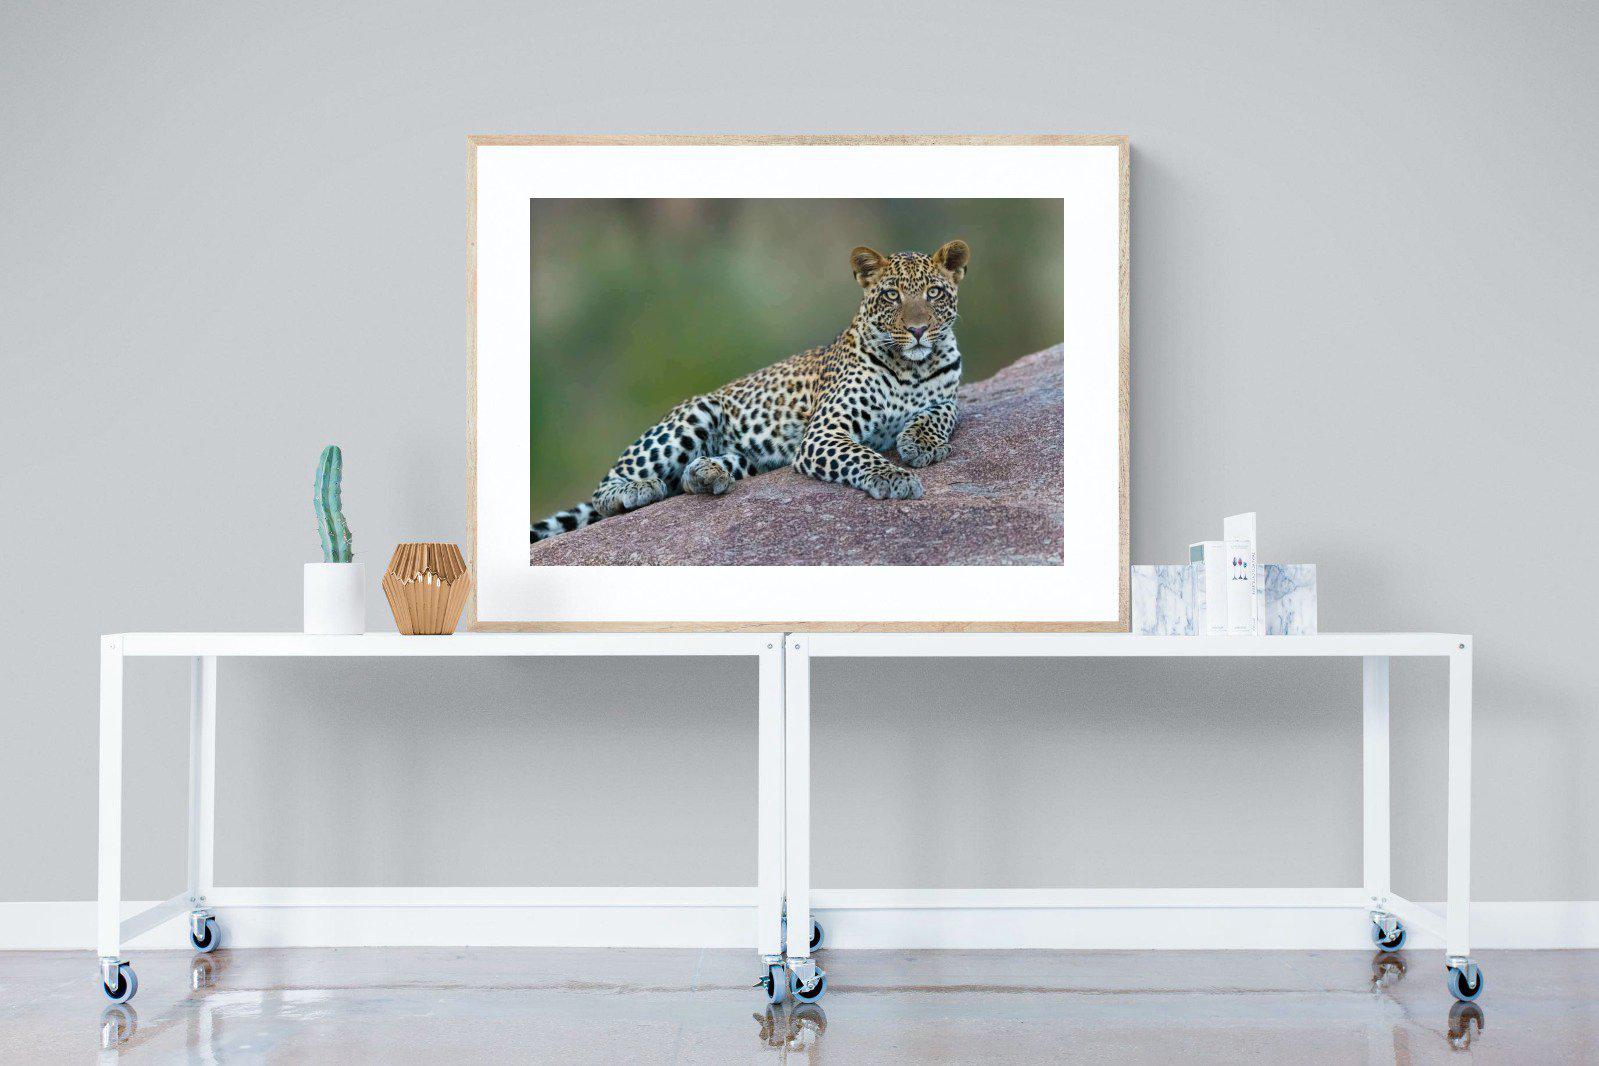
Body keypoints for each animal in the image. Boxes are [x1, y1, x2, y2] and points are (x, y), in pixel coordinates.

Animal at [530, 239, 970, 543]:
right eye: (892, 295)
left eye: (933, 293)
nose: (918, 330)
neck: (912, 366)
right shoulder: (824, 432)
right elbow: (861, 454)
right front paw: (895, 476)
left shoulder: (948, 395)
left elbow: (941, 412)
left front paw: (920, 443)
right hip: (694, 414)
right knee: (606, 489)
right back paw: (637, 489)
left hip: (751, 458)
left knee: (690, 478)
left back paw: (706, 474)